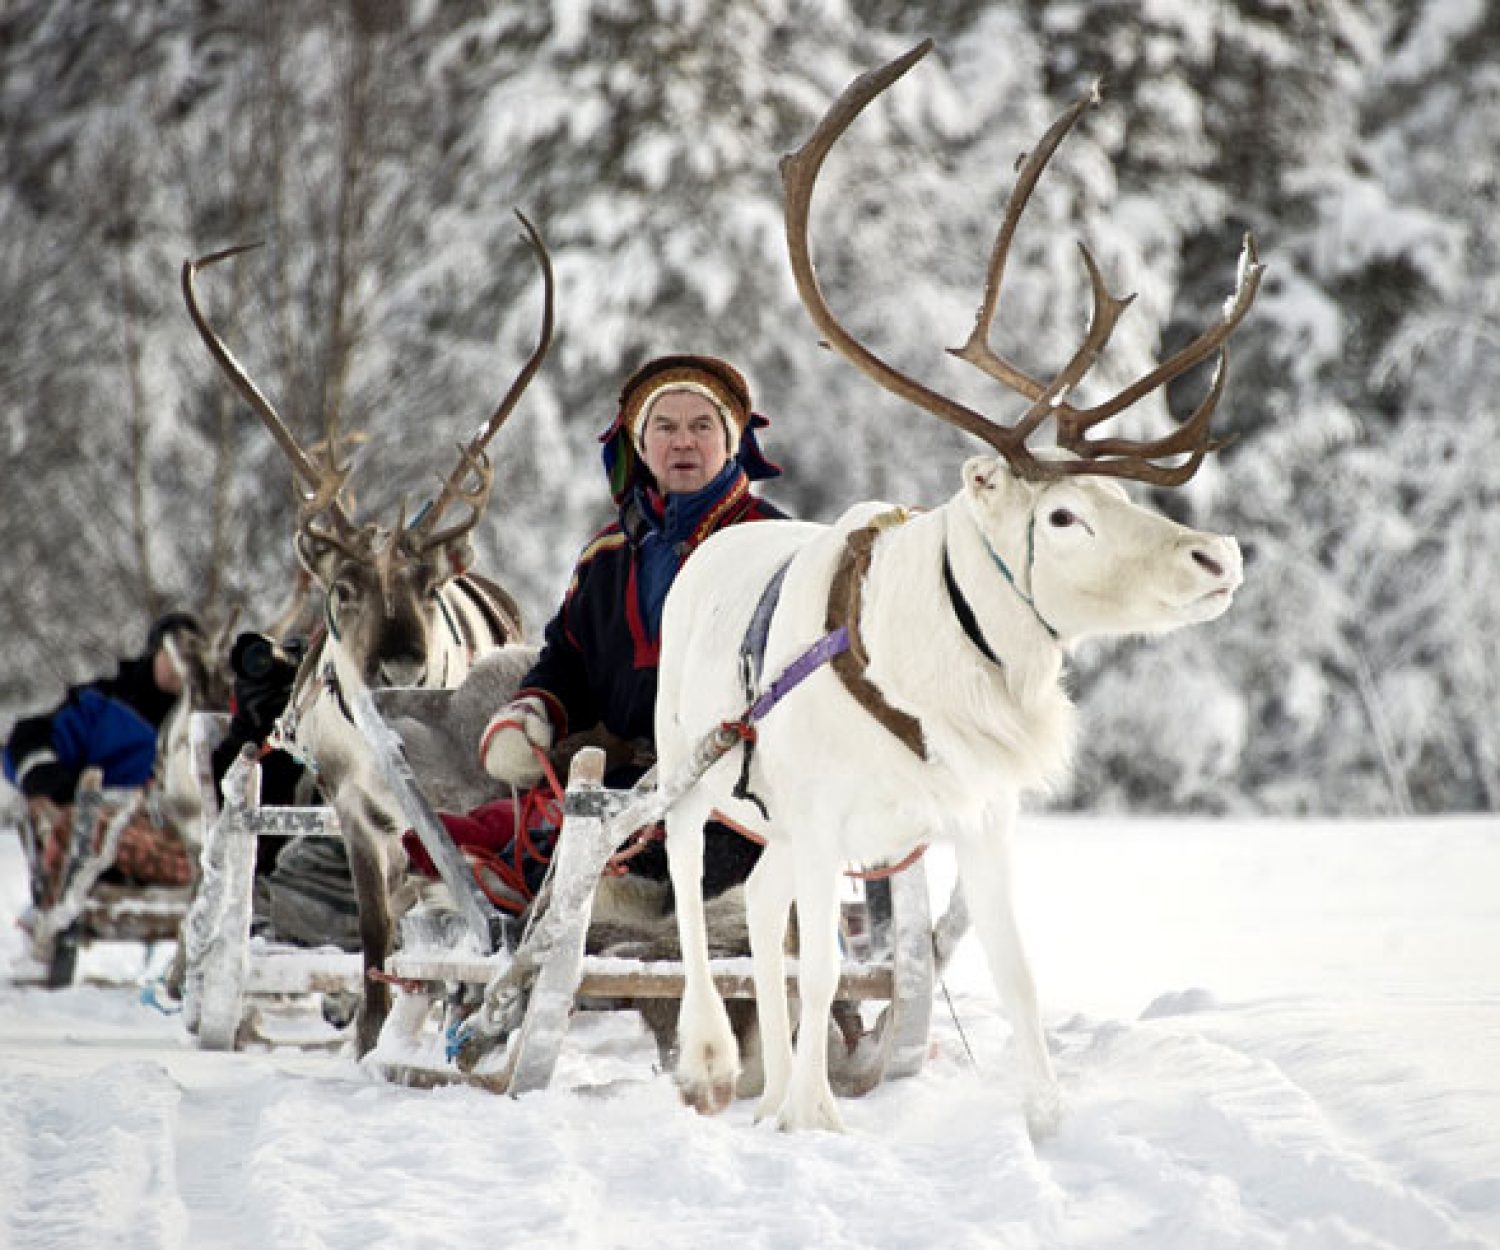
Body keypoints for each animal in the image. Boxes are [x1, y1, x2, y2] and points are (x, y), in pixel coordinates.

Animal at [181, 211, 554, 1053]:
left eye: (427, 588)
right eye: (343, 590)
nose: (400, 670)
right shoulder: (356, 809)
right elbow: (377, 940)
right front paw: (369, 1035)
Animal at [657, 41, 1263, 1139]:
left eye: (1117, 491)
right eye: (1062, 516)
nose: (1219, 556)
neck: (922, 667)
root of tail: (707, 549)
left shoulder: (976, 814)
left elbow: (1016, 973)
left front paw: (1046, 1116)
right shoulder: (821, 813)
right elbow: (820, 968)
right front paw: (814, 1117)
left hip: (793, 826)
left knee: (759, 906)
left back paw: (769, 1086)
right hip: (690, 766)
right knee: (690, 884)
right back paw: (718, 1063)